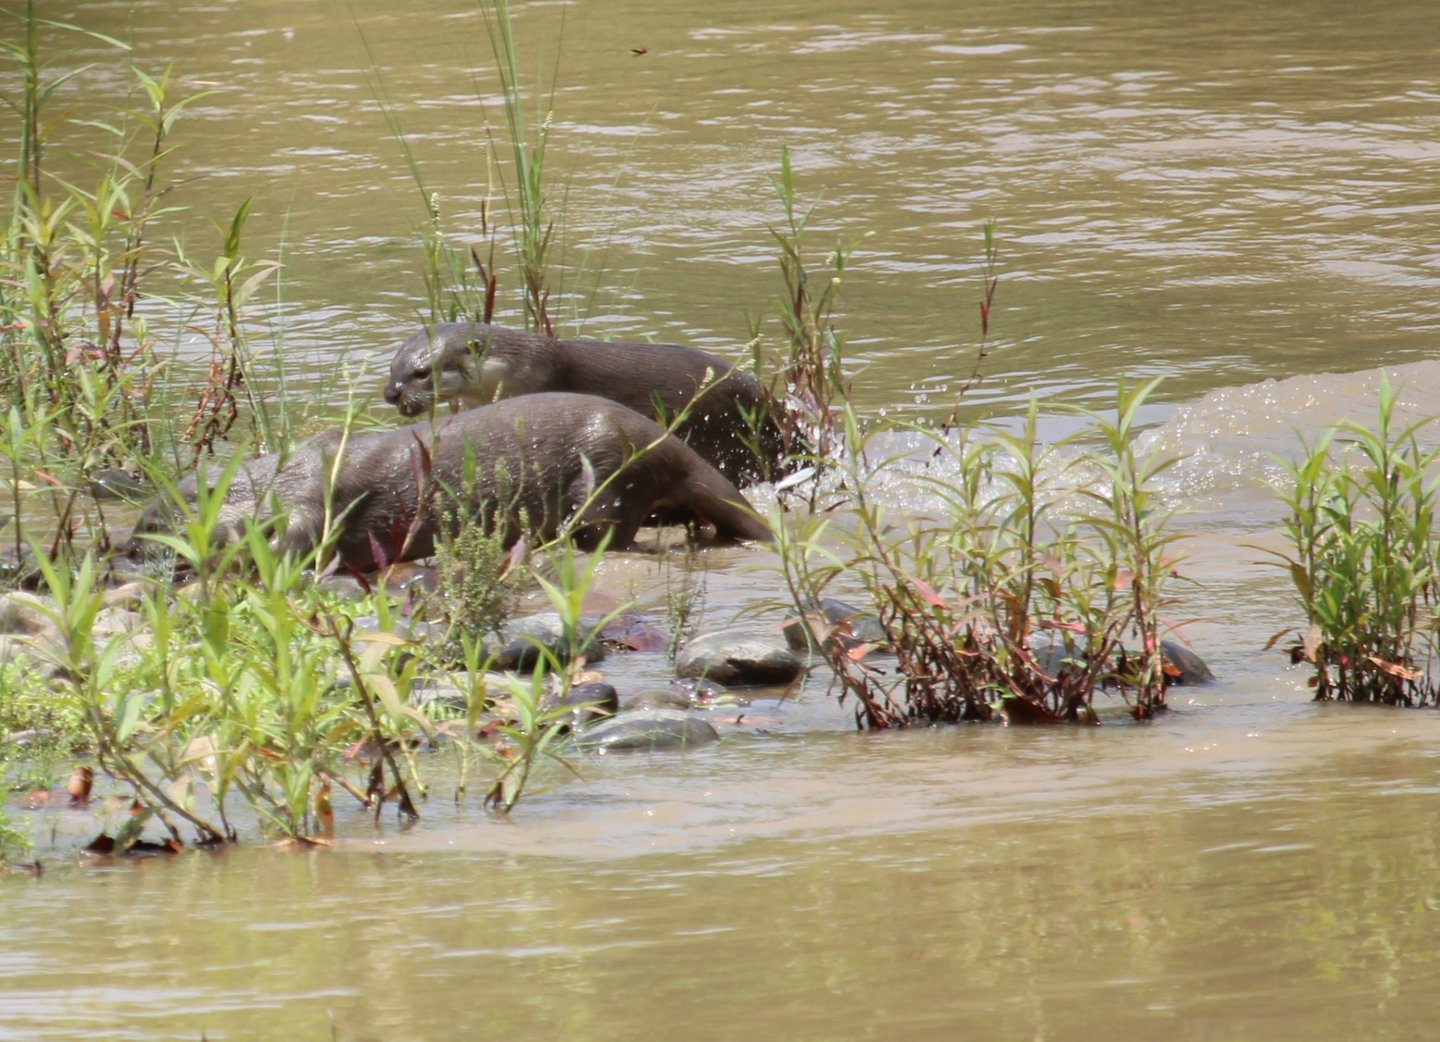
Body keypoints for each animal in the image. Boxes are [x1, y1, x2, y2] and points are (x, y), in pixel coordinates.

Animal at [128, 393, 771, 571]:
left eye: (148, 534)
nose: (122, 552)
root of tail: (667, 444)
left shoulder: (308, 504)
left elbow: (298, 542)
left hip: (609, 472)